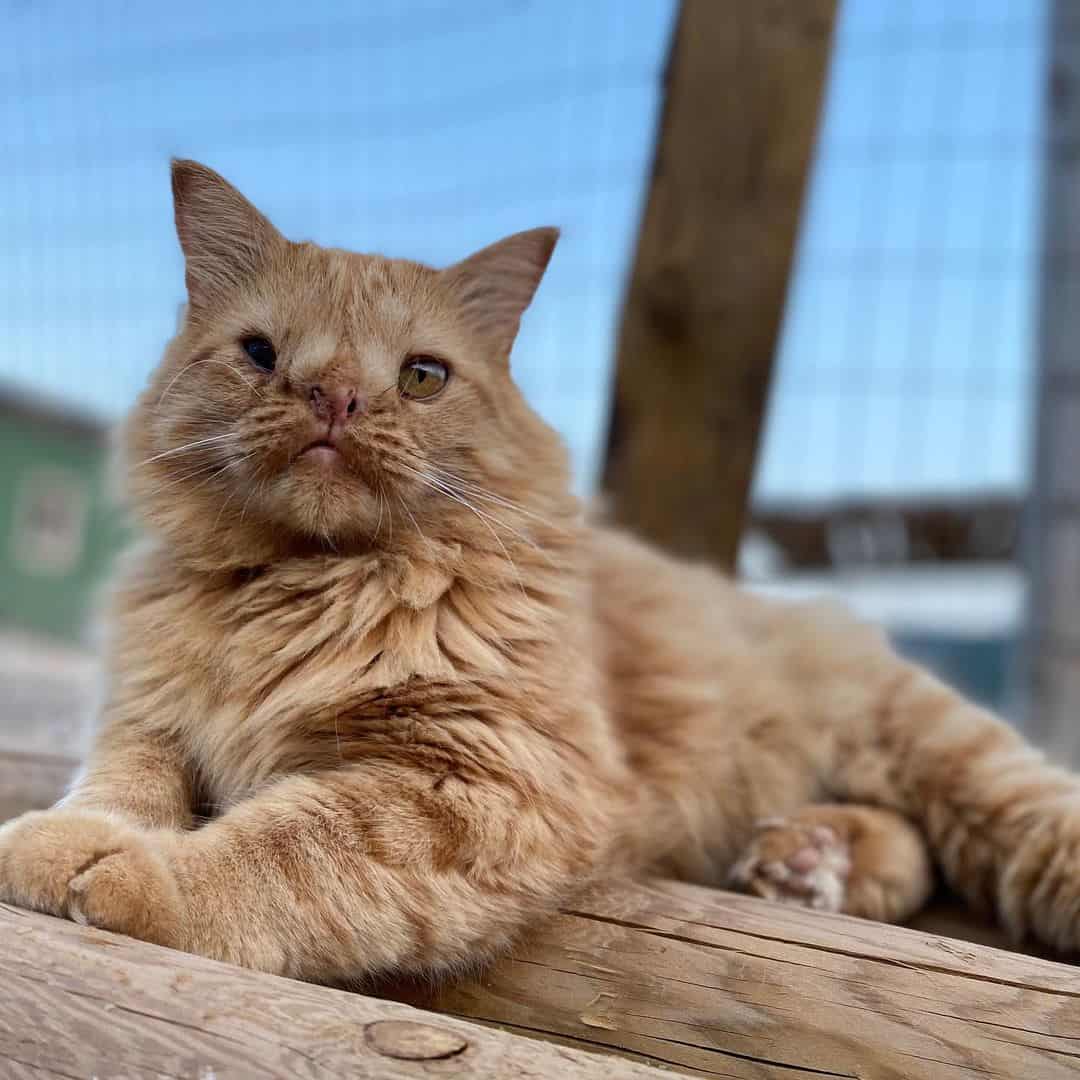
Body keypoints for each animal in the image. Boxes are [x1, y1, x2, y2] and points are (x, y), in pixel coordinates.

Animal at [2, 157, 1080, 980]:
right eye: (262, 355)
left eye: (422, 377)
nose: (336, 399)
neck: (297, 588)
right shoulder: (150, 716)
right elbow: (123, 784)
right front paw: (65, 838)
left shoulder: (477, 781)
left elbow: (278, 848)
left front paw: (131, 874)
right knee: (909, 849)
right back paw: (808, 863)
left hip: (945, 756)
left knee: (1000, 829)